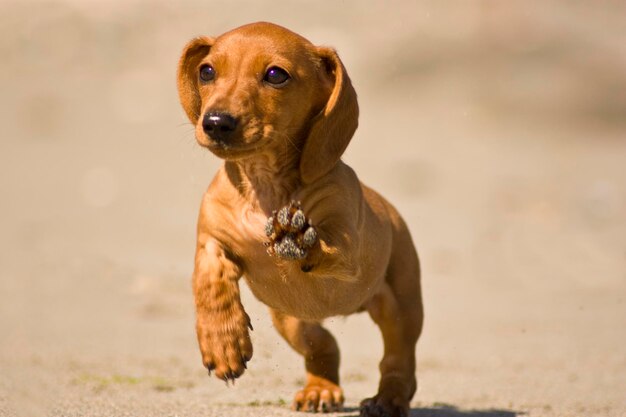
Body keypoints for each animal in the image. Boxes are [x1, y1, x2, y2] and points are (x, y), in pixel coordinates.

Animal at [177, 22, 424, 416]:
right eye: (207, 71)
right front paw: (223, 343)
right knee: (324, 345)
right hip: (291, 320)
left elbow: (327, 243)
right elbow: (210, 280)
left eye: (276, 75)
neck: (264, 190)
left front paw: (295, 238)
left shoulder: (347, 248)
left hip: (401, 307)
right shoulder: (212, 239)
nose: (215, 122)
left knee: (399, 361)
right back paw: (320, 390)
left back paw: (388, 398)